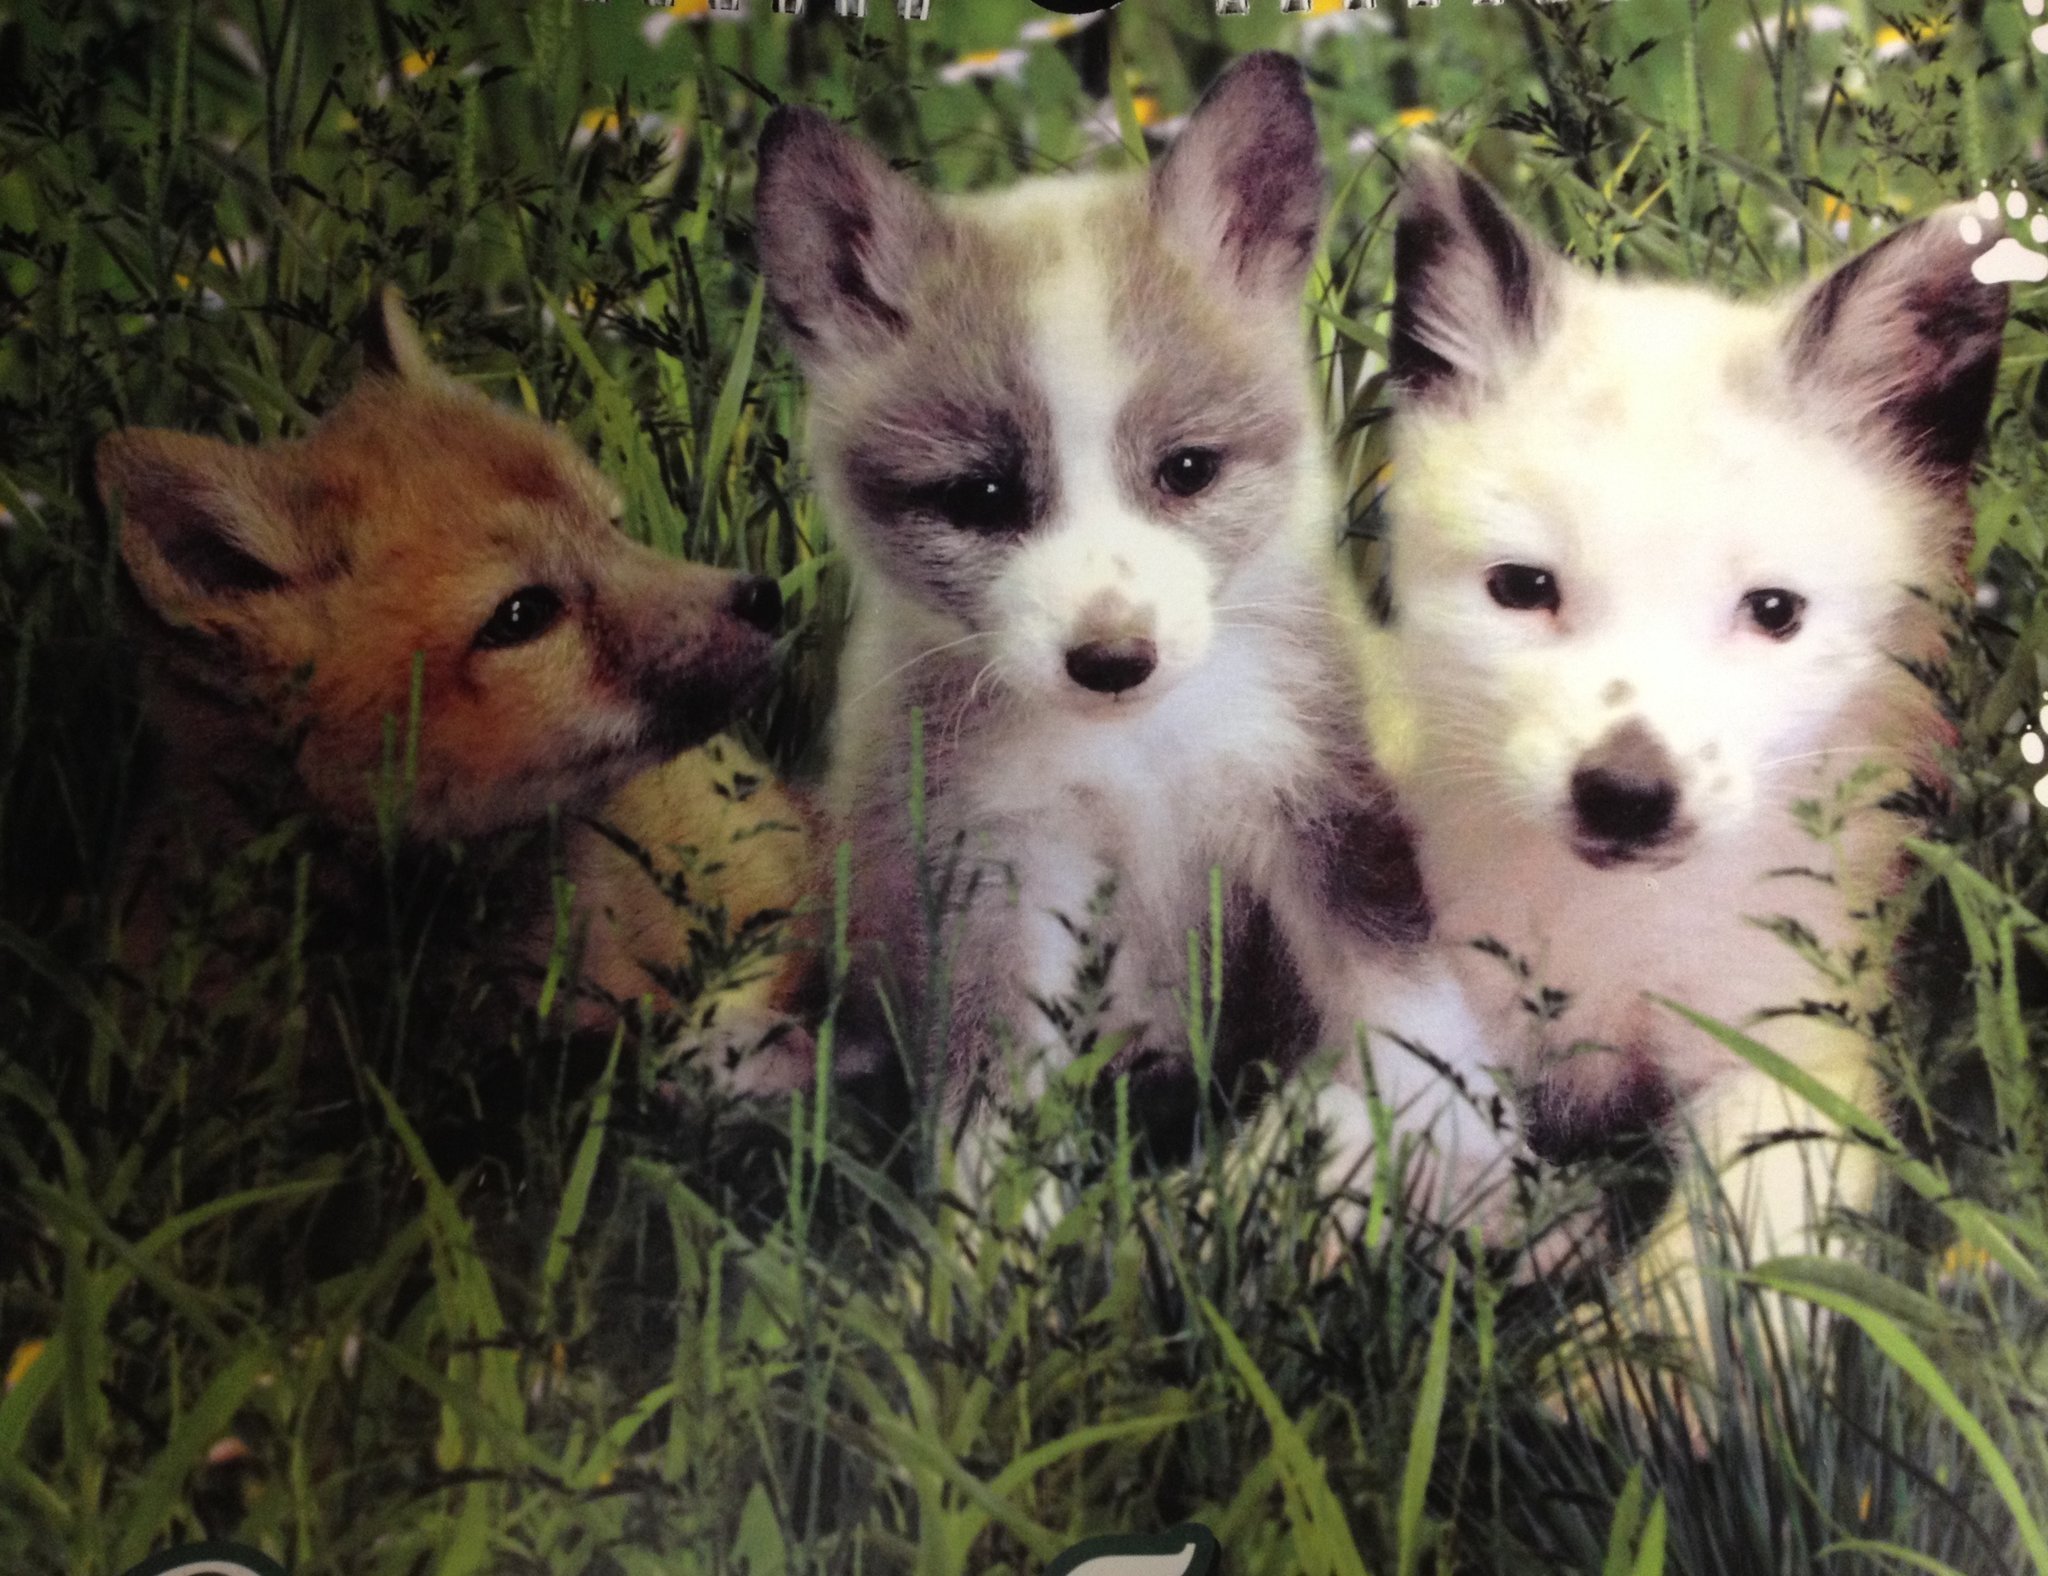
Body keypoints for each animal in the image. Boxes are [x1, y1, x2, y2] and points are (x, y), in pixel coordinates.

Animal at [754, 54, 1513, 1204]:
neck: (1136, 762)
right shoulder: (996, 870)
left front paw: (1472, 1137)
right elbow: (992, 1092)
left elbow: (1405, 999)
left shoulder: (1316, 806)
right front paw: (996, 1239)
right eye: (980, 497)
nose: (1112, 659)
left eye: (1187, 469)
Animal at [1370, 147, 2010, 1349]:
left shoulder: (1789, 1061)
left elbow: (1708, 1291)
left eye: (1772, 612)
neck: (1615, 935)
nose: (1625, 795)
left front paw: (1607, 1383)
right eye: (1521, 588)